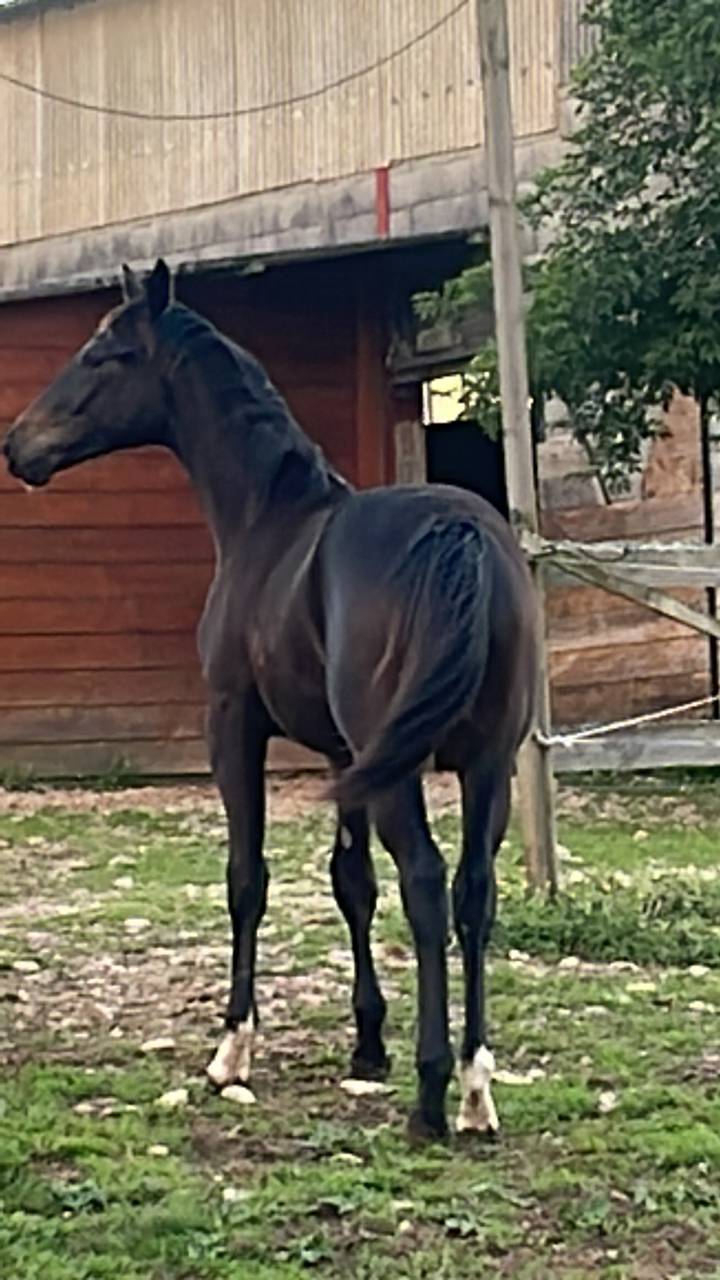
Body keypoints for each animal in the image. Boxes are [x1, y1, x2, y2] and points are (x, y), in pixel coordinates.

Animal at [3, 259, 537, 1140]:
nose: (19, 446)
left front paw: (232, 1047)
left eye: (105, 354)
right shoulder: (346, 757)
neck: (270, 520)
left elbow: (246, 877)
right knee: (472, 894)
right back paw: (475, 1086)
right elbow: (351, 883)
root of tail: (458, 535)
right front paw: (367, 1043)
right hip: (487, 765)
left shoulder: (235, 728)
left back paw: (432, 1095)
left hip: (405, 775)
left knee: (427, 886)